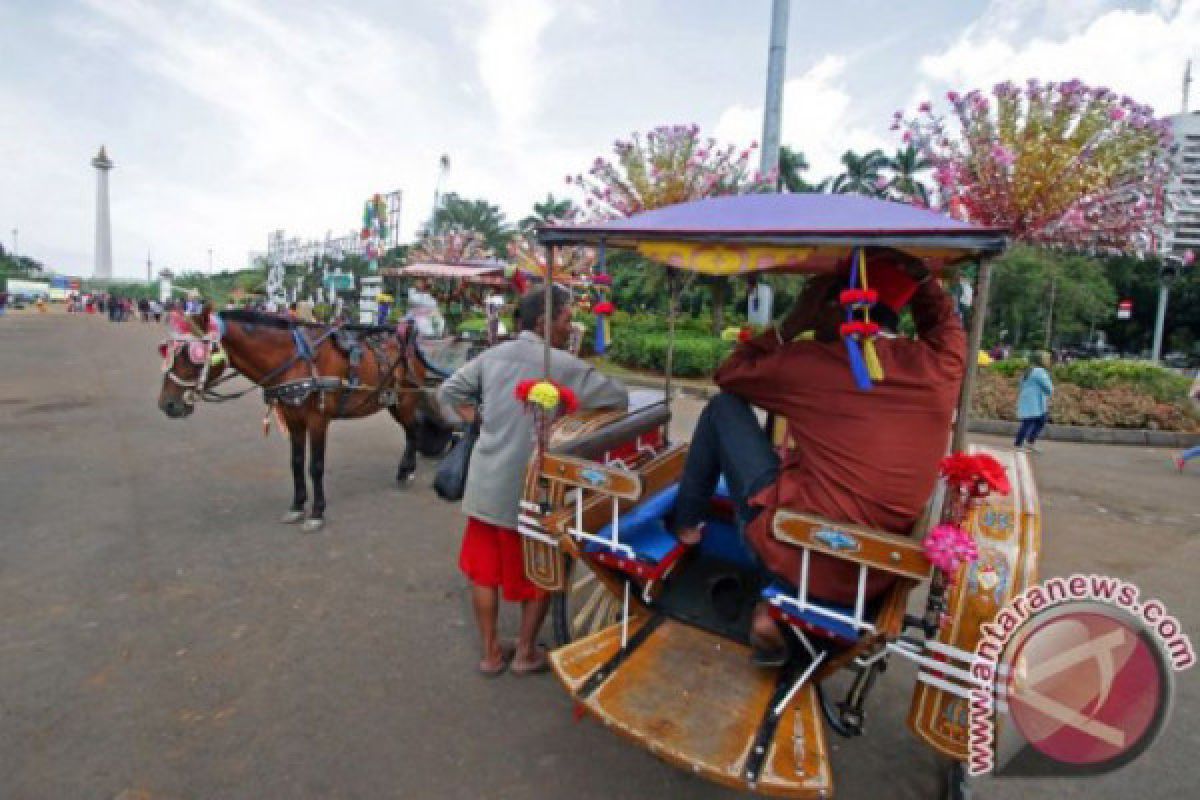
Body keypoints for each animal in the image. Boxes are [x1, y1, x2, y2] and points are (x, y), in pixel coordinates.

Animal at [158, 307, 453, 532]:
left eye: (193, 355)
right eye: (168, 352)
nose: (167, 404)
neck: (296, 360)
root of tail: (407, 338)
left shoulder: (318, 420)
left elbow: (315, 466)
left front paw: (317, 513)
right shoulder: (293, 419)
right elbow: (296, 463)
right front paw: (298, 505)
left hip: (405, 400)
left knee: (413, 430)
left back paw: (406, 471)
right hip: (391, 400)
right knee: (412, 430)